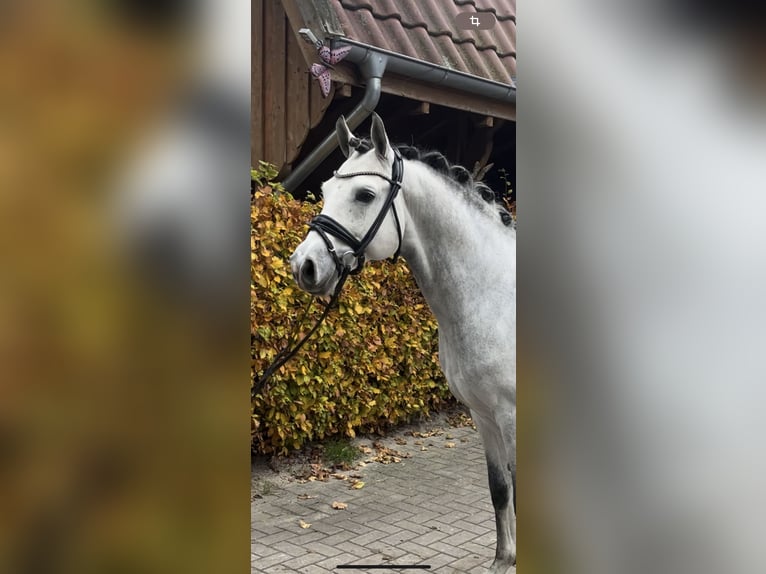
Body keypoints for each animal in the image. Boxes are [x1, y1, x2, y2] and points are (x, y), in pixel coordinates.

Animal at [292, 113, 520, 574]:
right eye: (324, 191)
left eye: (364, 194)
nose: (304, 266)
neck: (494, 295)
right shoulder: (483, 414)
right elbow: (499, 489)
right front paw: (503, 560)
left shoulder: (511, 415)